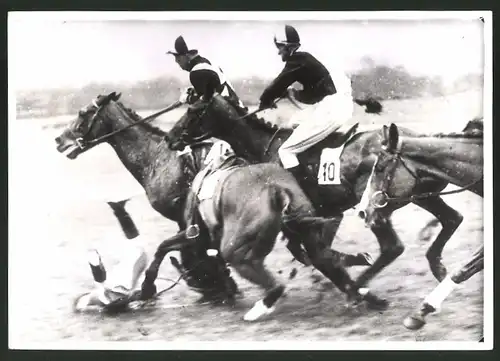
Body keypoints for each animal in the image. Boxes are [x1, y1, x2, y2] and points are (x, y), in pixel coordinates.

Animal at [55, 91, 239, 302]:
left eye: (83, 113)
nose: (58, 140)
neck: (156, 159)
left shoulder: (189, 220)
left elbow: (174, 249)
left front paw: (149, 286)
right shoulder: (188, 222)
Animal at [164, 93, 464, 306]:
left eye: (193, 112)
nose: (170, 138)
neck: (265, 146)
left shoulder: (303, 219)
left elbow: (316, 254)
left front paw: (351, 276)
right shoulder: (325, 215)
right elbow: (318, 253)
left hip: (379, 205)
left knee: (393, 246)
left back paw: (360, 288)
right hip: (421, 196)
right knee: (452, 218)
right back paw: (437, 267)